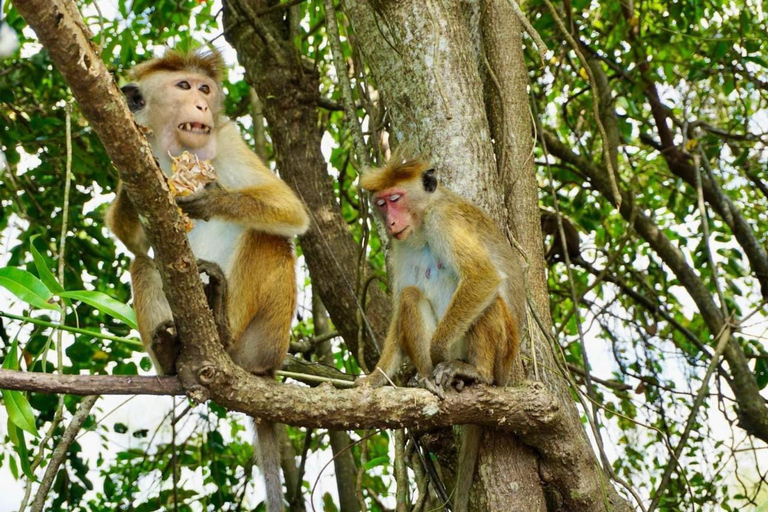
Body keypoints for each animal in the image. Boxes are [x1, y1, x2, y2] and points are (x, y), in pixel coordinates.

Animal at [106, 48, 308, 512]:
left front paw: (211, 197)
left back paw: (221, 323)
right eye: (184, 86)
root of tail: (266, 368)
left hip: (263, 339)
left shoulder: (228, 137)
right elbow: (134, 239)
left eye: (205, 89)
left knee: (268, 238)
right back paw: (168, 353)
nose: (201, 105)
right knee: (143, 262)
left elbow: (292, 211)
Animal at [356, 156, 524, 512]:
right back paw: (425, 377)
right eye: (381, 204)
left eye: (396, 199)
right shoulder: (399, 247)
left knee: (490, 302)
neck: (421, 227)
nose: (391, 221)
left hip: (504, 349)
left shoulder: (444, 221)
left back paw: (475, 373)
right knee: (411, 296)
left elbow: (482, 276)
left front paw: (437, 352)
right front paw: (376, 378)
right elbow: (399, 308)